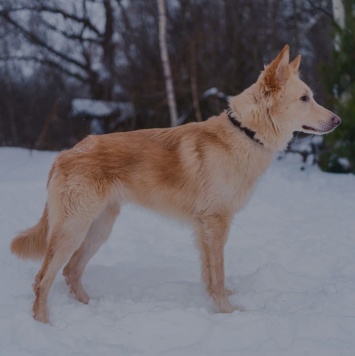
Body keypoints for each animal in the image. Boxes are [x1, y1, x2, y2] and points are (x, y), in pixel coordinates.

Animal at [9, 44, 340, 322]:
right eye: (305, 98)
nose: (337, 120)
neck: (245, 132)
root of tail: (65, 154)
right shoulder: (215, 223)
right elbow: (218, 274)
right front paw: (227, 312)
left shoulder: (205, 228)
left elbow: (210, 274)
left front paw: (220, 302)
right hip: (73, 230)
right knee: (43, 279)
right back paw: (44, 323)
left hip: (98, 229)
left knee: (70, 271)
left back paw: (91, 308)